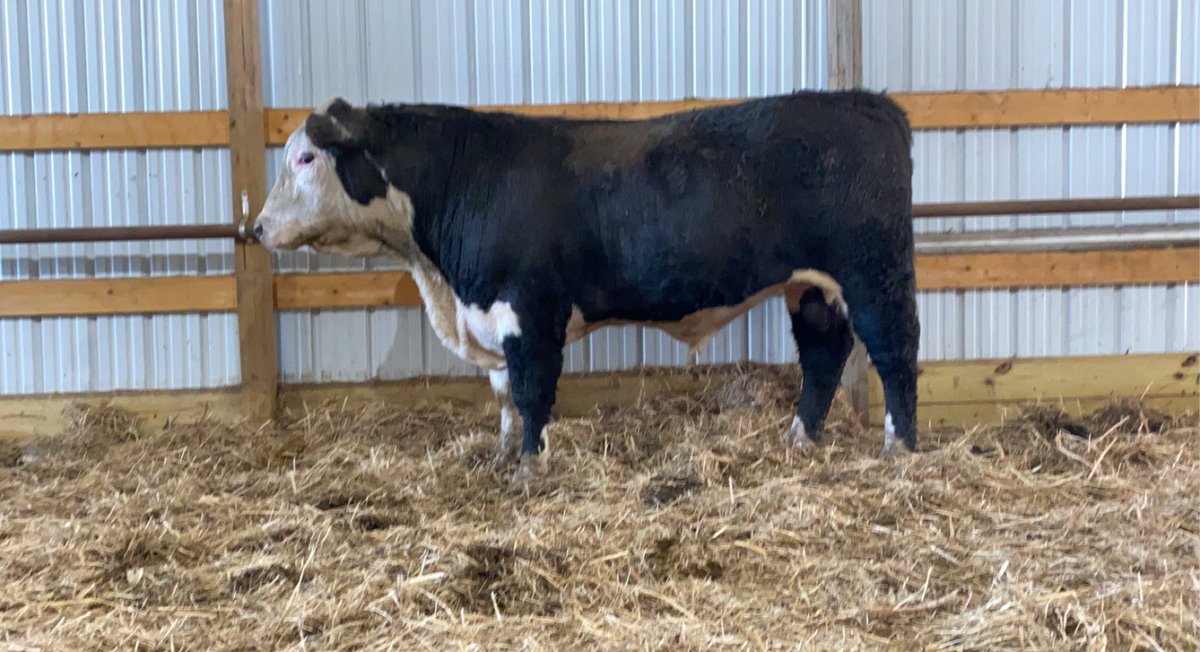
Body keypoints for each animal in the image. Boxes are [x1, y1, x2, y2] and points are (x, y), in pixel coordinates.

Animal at [254, 91, 919, 483]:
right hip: (811, 288)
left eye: (306, 158)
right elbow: (502, 393)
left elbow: (530, 391)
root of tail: (868, 103)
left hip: (873, 273)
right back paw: (801, 439)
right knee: (825, 354)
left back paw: (900, 447)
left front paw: (527, 467)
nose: (256, 227)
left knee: (895, 351)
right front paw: (501, 454)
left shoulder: (529, 312)